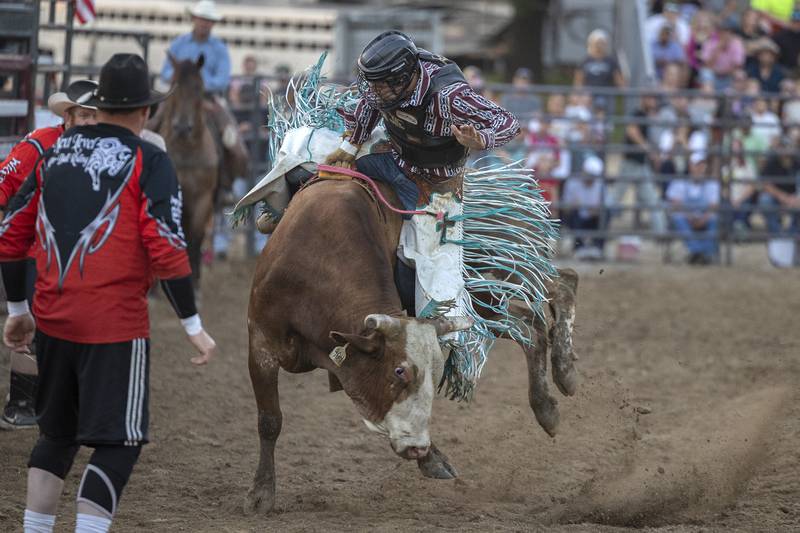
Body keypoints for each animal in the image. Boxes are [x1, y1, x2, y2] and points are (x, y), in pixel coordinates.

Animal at [244, 178, 576, 512]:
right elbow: (270, 420)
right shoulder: (261, 344)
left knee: (557, 290)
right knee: (532, 324)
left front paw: (431, 459)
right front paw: (261, 494)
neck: (317, 265)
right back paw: (549, 402)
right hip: (488, 297)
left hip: (492, 281)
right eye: (399, 372)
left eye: (434, 373)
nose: (418, 449)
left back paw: (563, 375)